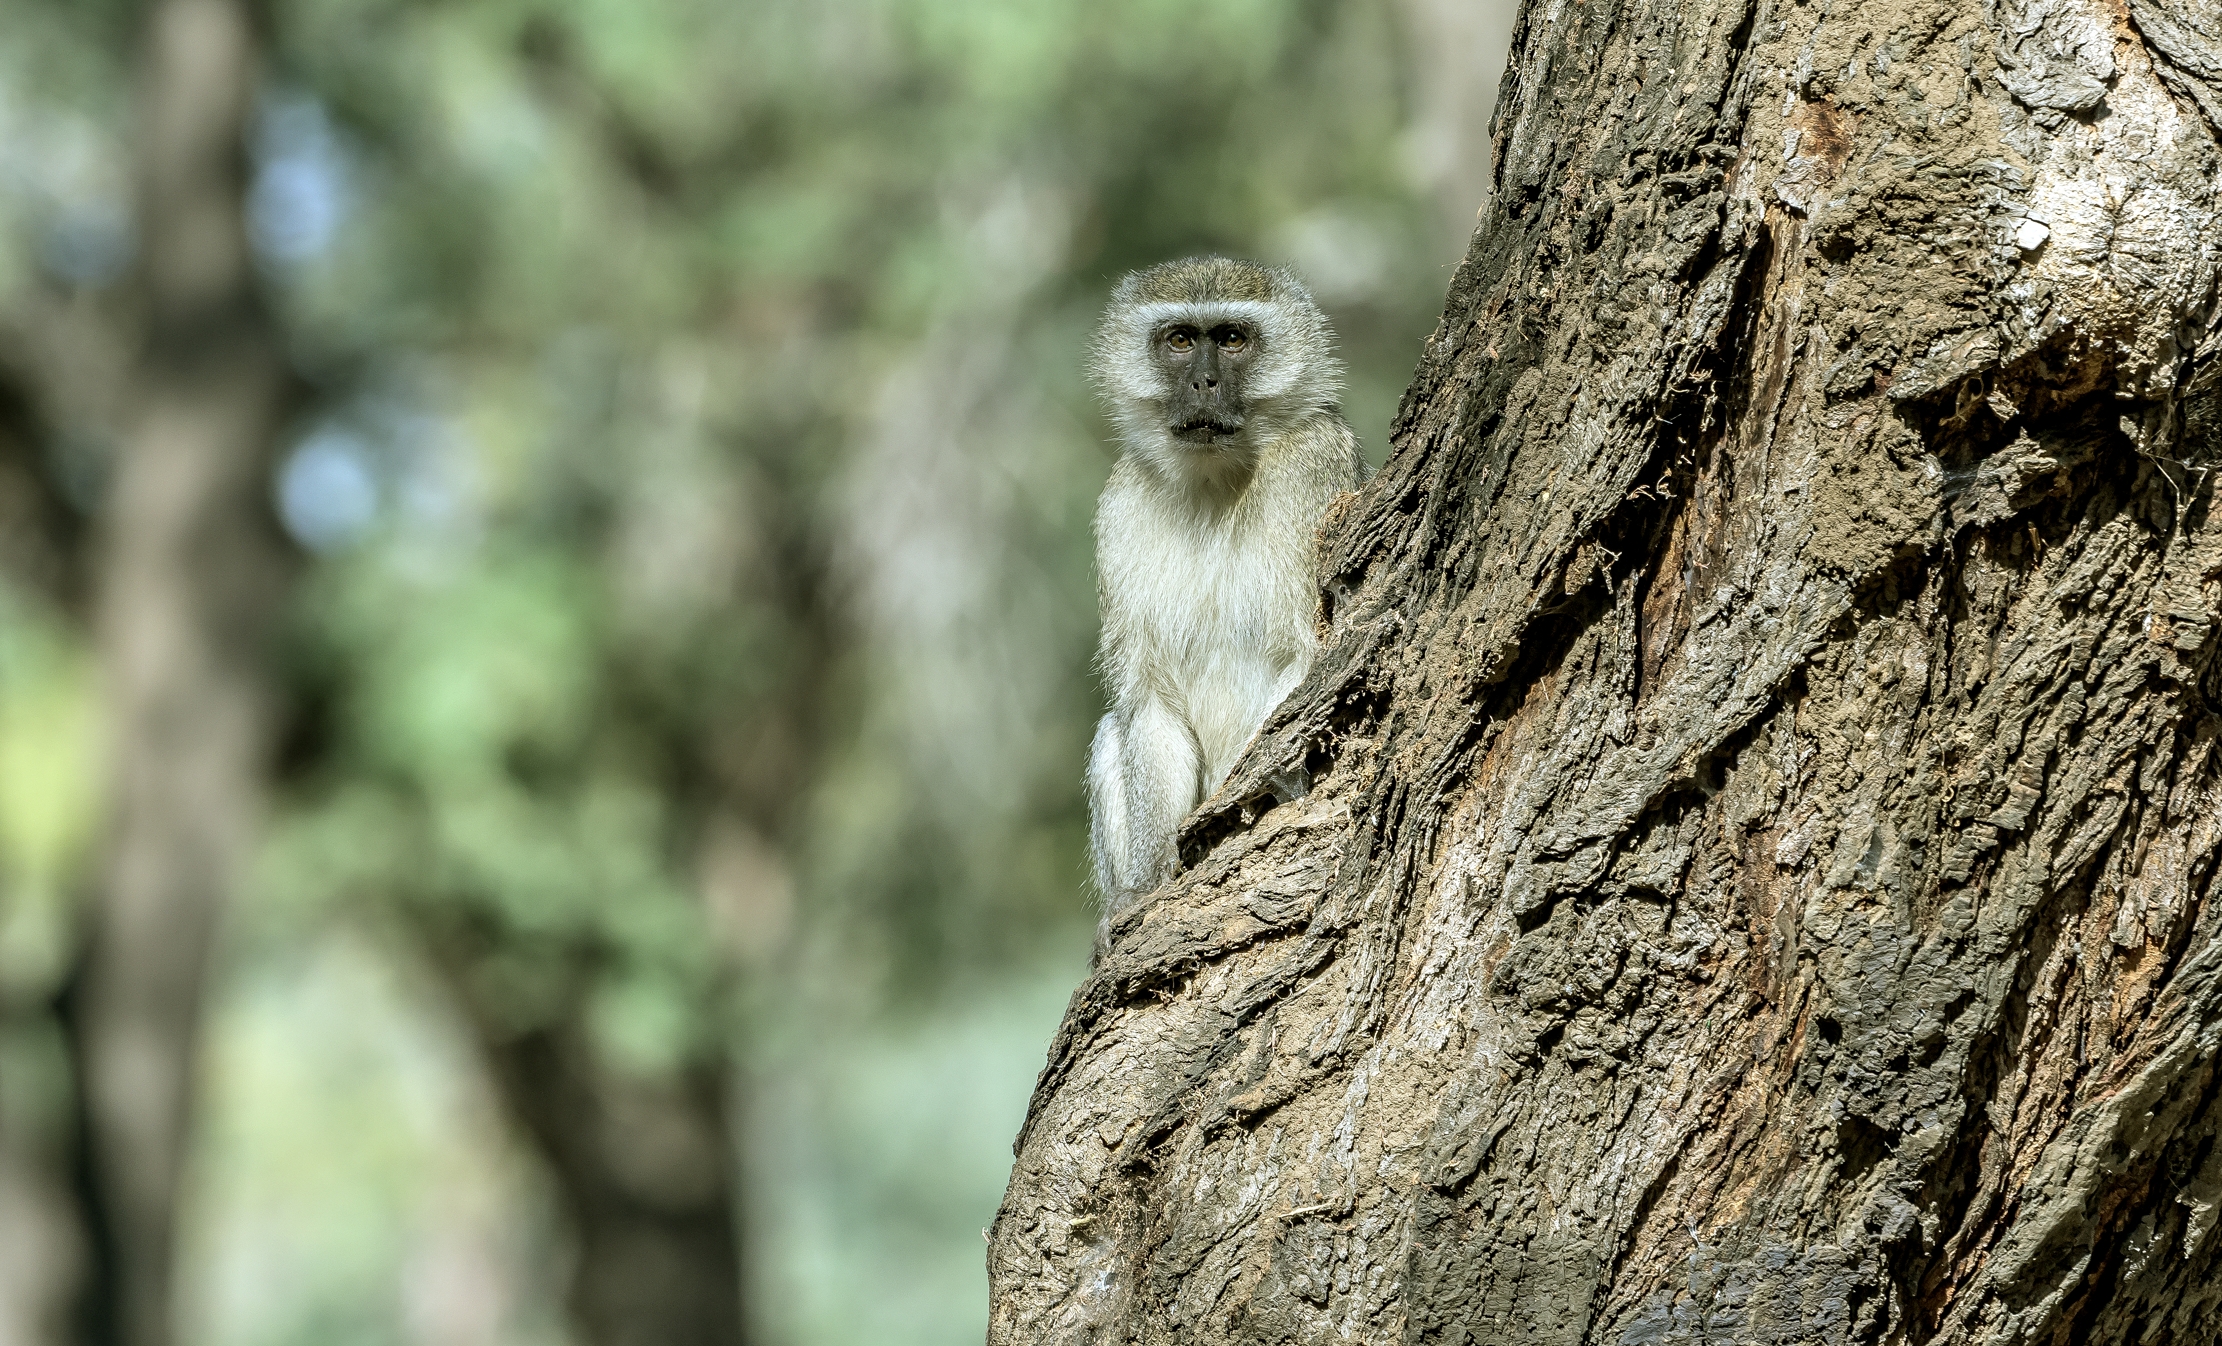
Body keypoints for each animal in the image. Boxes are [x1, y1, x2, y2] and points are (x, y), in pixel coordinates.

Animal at [1085, 256, 1366, 915]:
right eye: (1181, 340)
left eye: (1232, 338)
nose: (1205, 383)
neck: (1214, 479)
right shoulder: (1120, 505)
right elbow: (1150, 702)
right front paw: (1144, 886)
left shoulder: (1313, 463)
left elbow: (1308, 658)